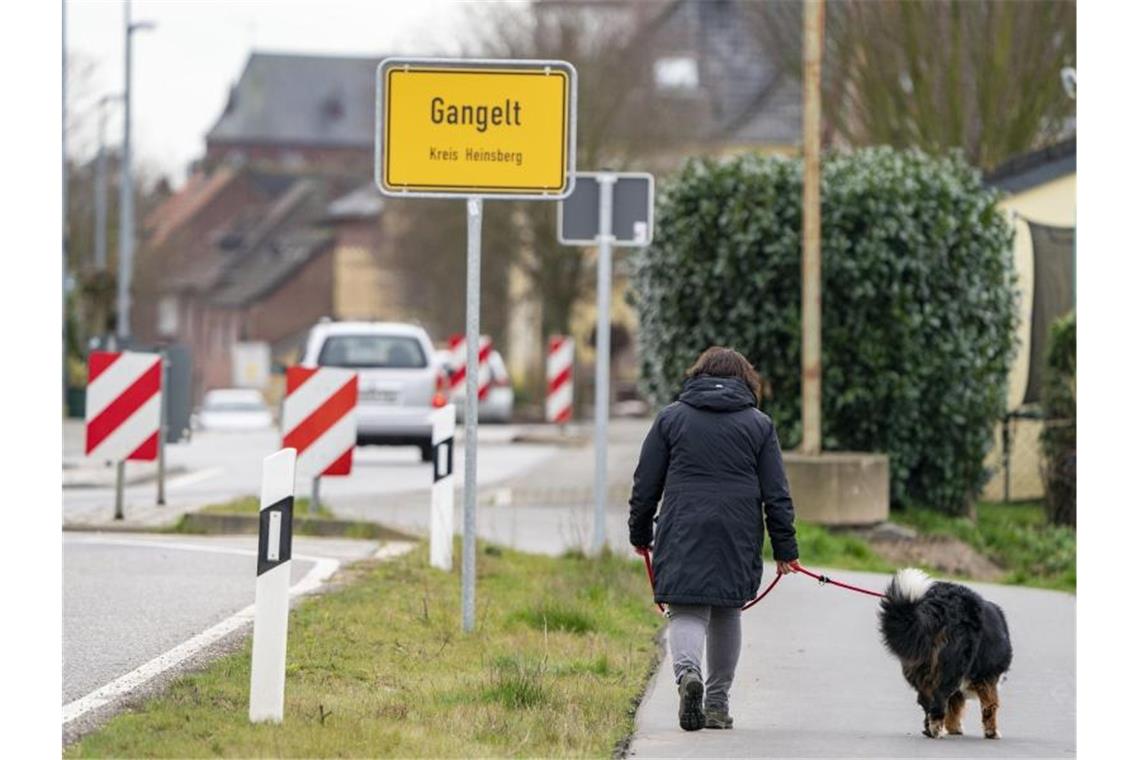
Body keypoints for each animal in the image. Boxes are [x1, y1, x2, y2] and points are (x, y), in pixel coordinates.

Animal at [875, 569, 1012, 738]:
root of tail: (936, 607)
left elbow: (954, 708)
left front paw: (954, 728)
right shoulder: (987, 678)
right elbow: (990, 706)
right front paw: (992, 732)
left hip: (921, 665)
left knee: (925, 700)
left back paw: (929, 729)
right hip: (952, 668)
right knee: (938, 700)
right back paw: (936, 731)